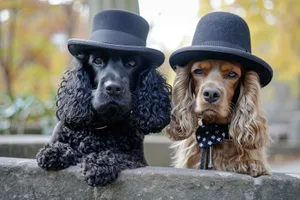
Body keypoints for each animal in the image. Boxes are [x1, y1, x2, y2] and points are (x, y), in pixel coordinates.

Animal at [36, 47, 170, 185]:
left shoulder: (135, 159)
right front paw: (55, 151)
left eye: (132, 63)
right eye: (97, 61)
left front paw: (100, 163)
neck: (102, 124)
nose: (113, 88)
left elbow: (119, 154)